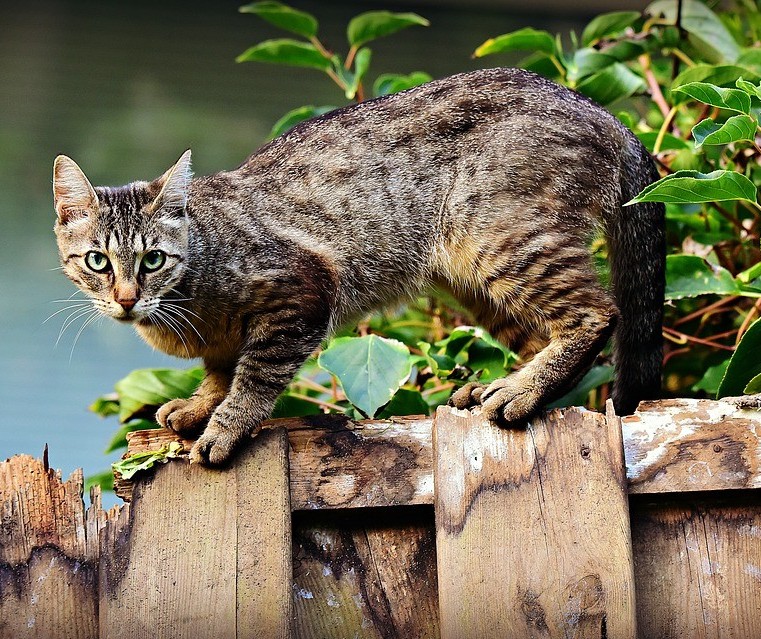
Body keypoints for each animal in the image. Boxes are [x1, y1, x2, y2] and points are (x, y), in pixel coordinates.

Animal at [53, 69, 664, 464]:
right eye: (97, 261)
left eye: (153, 259)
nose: (126, 298)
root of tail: (605, 114)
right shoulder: (225, 341)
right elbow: (220, 370)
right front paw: (201, 405)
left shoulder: (302, 293)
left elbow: (253, 376)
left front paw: (226, 425)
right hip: (472, 279)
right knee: (544, 336)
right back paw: (503, 386)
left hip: (502, 239)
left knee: (597, 314)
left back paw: (521, 391)